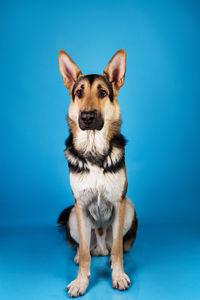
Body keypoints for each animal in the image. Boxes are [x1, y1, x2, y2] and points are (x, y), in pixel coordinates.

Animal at [56, 49, 138, 298]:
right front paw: (80, 282)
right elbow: (84, 253)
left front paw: (118, 276)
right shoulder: (81, 205)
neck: (93, 153)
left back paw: (110, 259)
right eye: (79, 93)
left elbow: (119, 249)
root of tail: (100, 247)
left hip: (129, 207)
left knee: (115, 248)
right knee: (84, 247)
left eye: (102, 93)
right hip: (73, 215)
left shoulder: (119, 203)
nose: (87, 117)